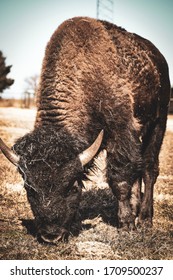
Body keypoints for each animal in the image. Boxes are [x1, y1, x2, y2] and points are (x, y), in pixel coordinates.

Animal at [0, 17, 170, 243]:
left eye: (73, 187)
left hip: (158, 122)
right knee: (139, 167)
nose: (51, 236)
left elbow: (120, 179)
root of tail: (158, 58)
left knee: (149, 168)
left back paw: (143, 219)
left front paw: (126, 225)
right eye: (29, 188)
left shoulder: (121, 131)